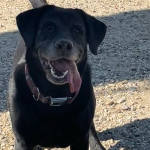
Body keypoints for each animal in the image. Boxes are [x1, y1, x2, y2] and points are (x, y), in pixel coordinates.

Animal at [7, 1, 106, 149]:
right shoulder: (22, 141)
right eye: (49, 27)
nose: (64, 45)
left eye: (77, 31)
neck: (55, 94)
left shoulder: (80, 138)